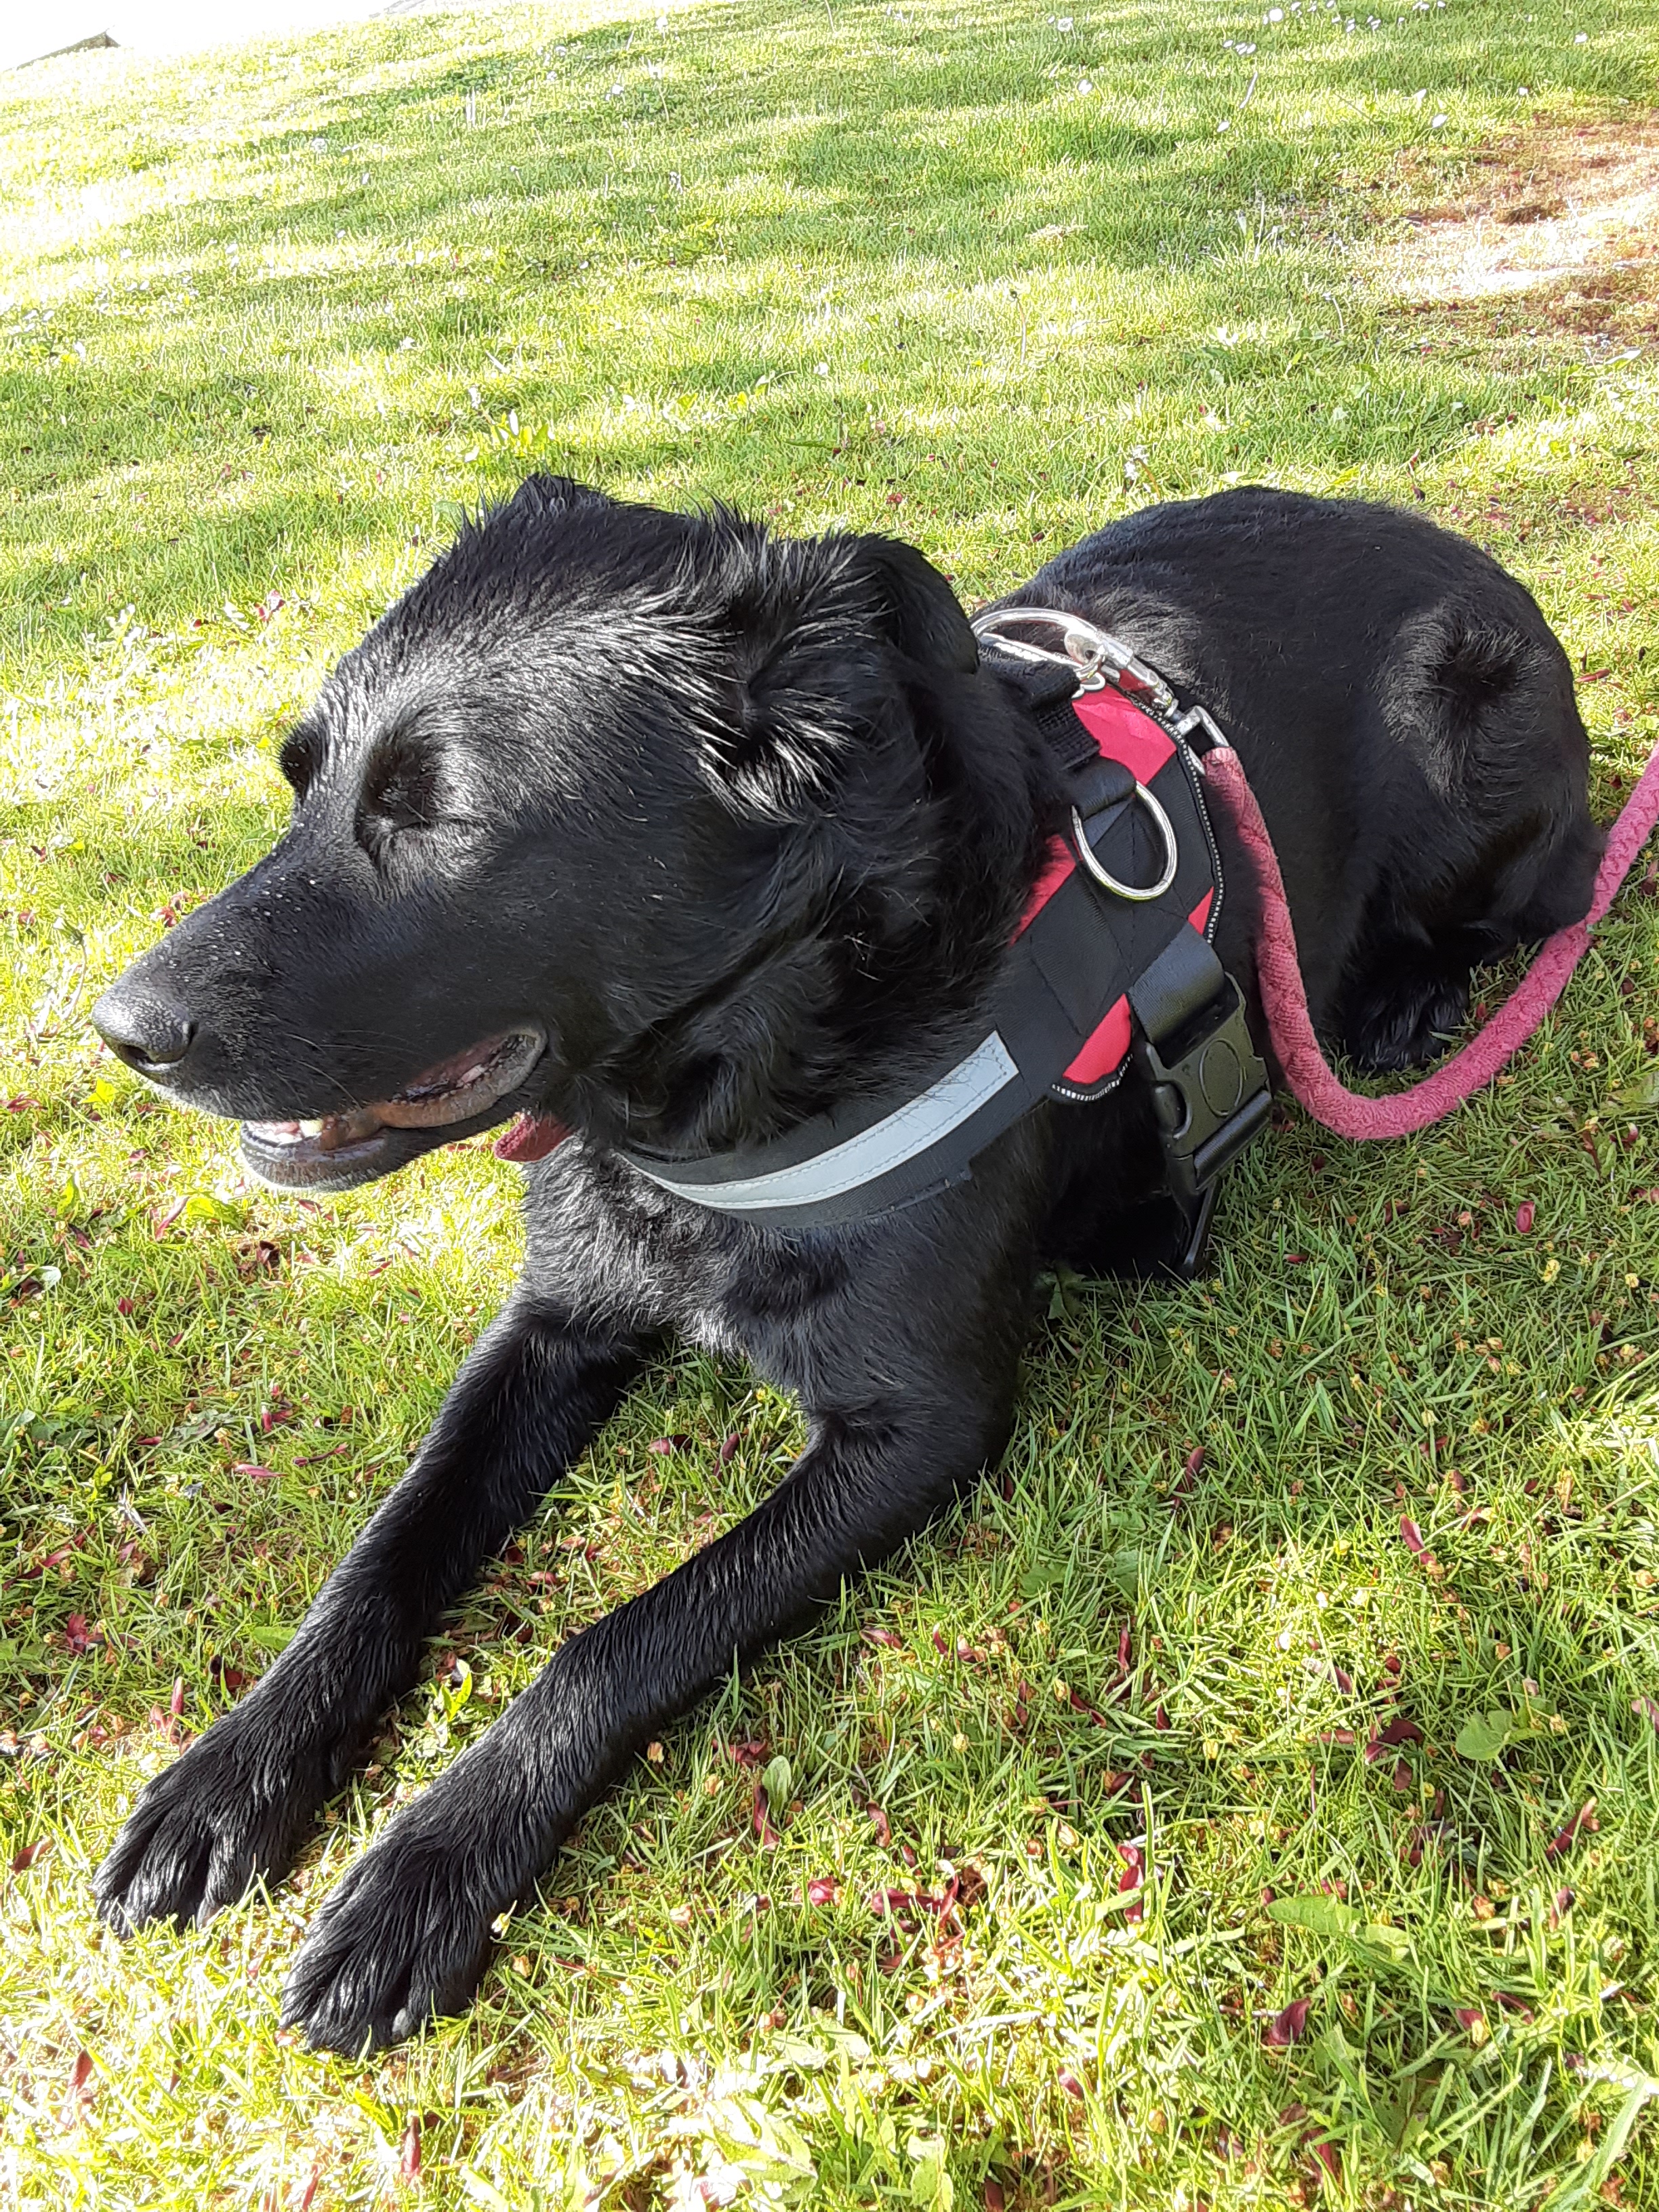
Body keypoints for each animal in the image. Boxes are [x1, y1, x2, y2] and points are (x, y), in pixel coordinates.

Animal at [89, 478, 1600, 2052]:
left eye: (439, 816)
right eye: (300, 782)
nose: (119, 1029)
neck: (740, 1069)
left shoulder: (916, 1425)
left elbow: (612, 1639)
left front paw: (427, 1871)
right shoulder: (555, 1325)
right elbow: (386, 1549)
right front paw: (233, 1770)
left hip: (1463, 743)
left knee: (1549, 897)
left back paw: (1408, 994)